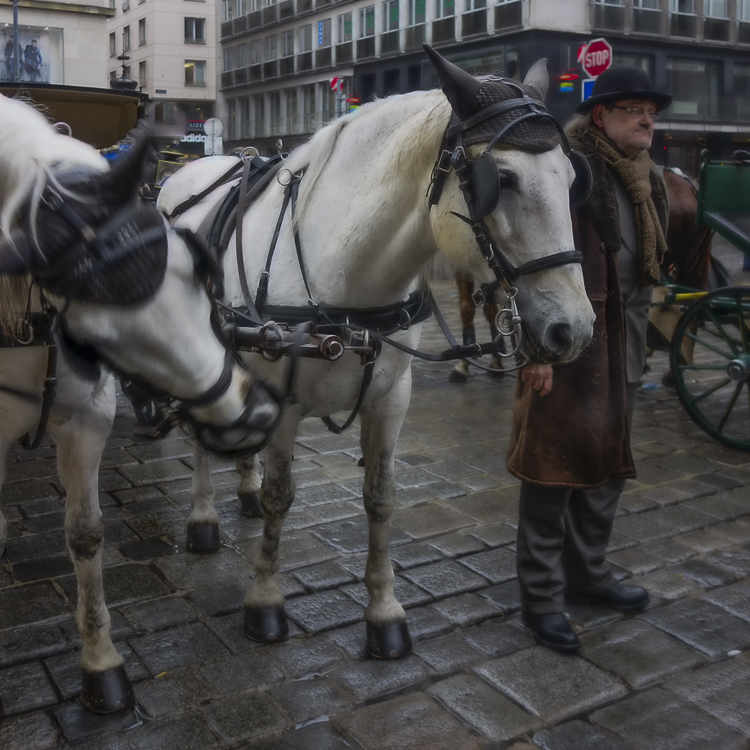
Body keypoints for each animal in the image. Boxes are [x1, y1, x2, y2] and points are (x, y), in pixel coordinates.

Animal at [0, 95, 280, 716]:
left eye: (197, 274)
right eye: (96, 327)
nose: (254, 416)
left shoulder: (87, 417)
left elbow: (85, 533)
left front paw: (101, 663)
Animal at [157, 45, 592, 656]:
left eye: (573, 177)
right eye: (500, 179)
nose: (573, 329)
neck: (344, 277)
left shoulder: (391, 398)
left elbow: (381, 497)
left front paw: (385, 612)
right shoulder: (286, 404)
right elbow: (281, 497)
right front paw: (265, 601)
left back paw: (241, 484)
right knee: (199, 438)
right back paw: (201, 518)